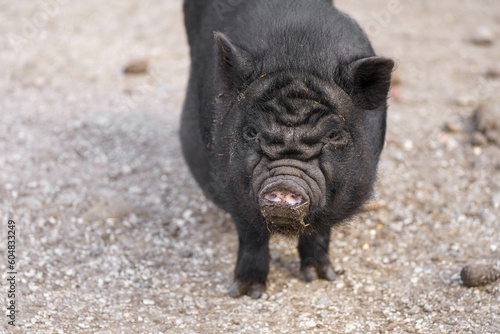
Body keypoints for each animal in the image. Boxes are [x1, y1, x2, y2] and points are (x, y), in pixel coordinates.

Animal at [180, 0, 394, 298]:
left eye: (333, 134)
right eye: (251, 131)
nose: (284, 181)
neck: (298, 55)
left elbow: (320, 231)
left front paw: (320, 277)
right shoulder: (231, 187)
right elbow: (251, 235)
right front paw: (245, 292)